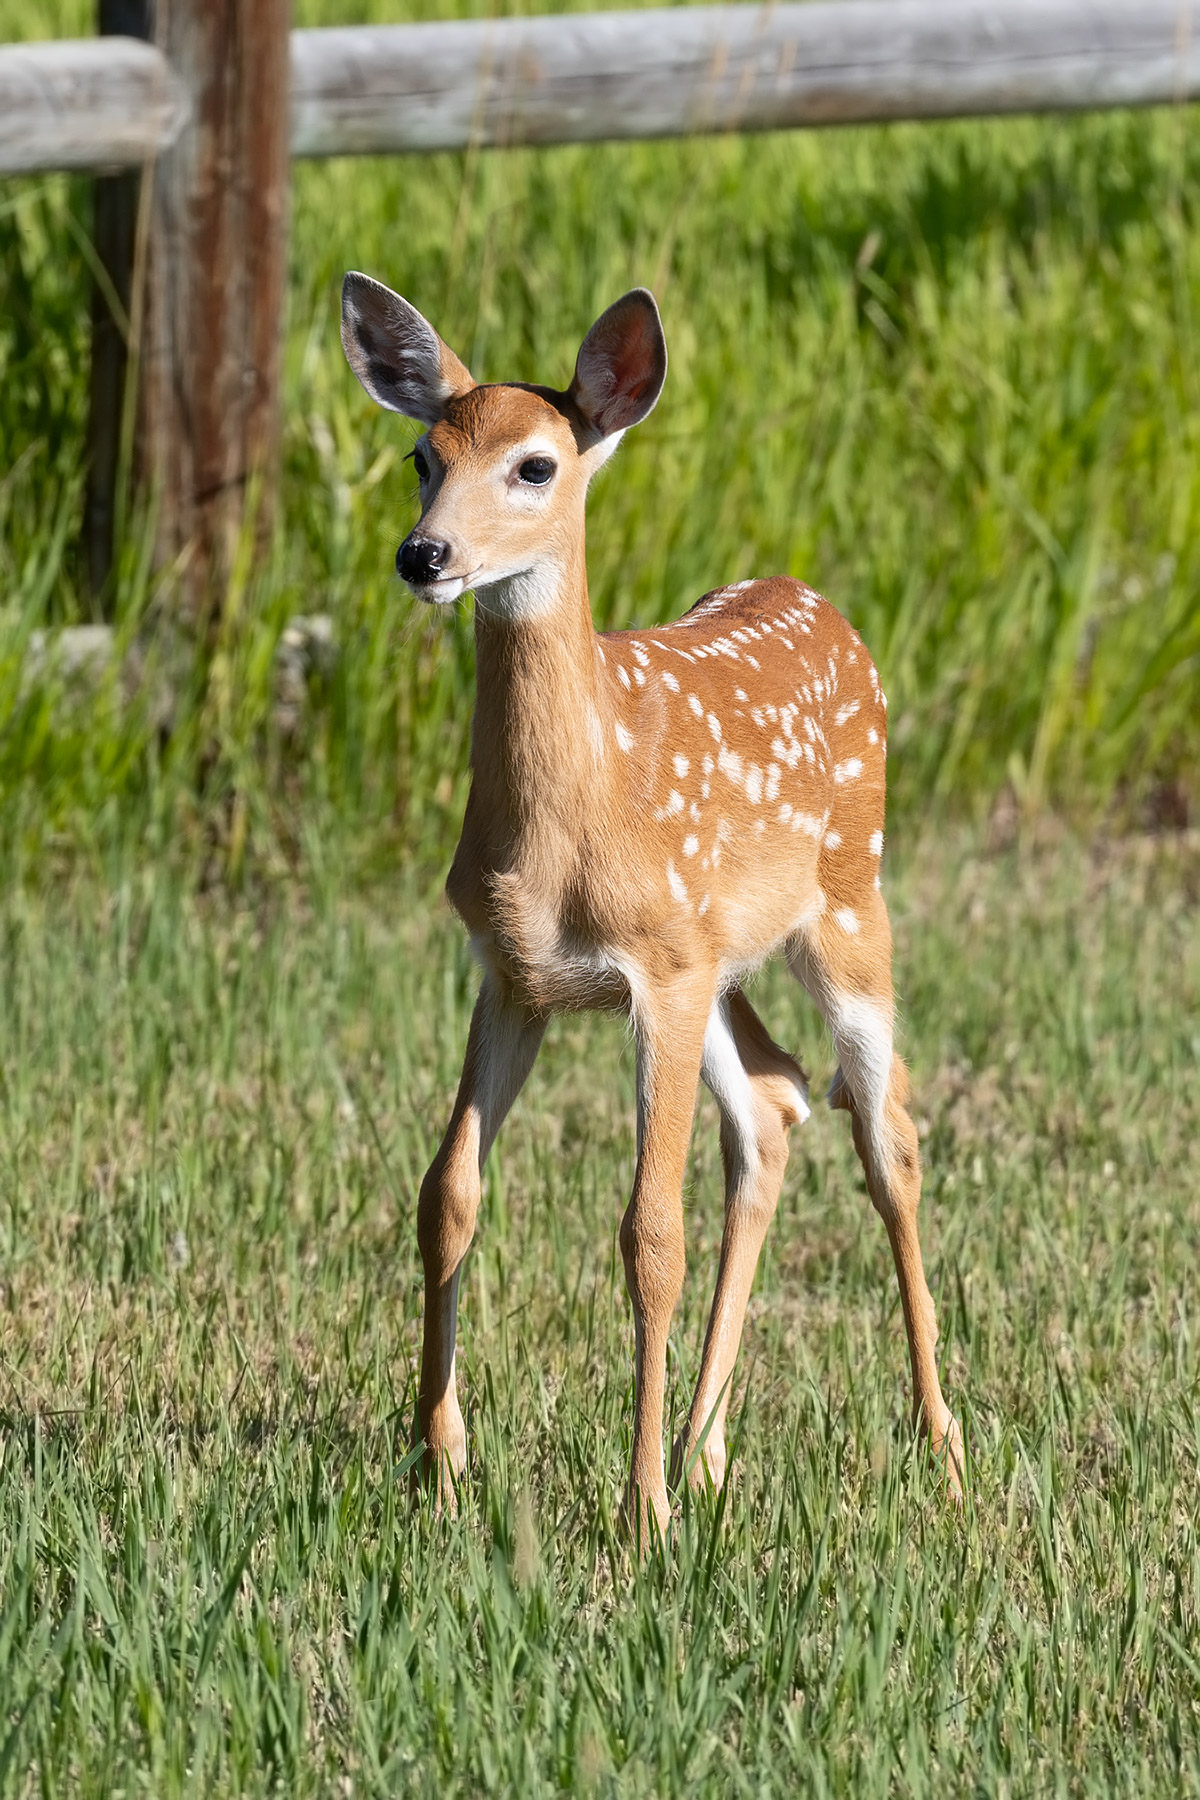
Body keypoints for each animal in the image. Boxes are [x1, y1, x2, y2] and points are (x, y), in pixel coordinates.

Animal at [340, 273, 964, 1534]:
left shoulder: (656, 971)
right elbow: (448, 1195)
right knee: (771, 1105)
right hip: (718, 960)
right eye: (423, 456)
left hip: (848, 902)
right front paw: (437, 1463)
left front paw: (641, 1514)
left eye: (535, 465)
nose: (425, 555)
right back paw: (709, 1448)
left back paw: (940, 1443)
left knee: (890, 1137)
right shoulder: (517, 975)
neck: (578, 816)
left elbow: (649, 1235)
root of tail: (817, 600)